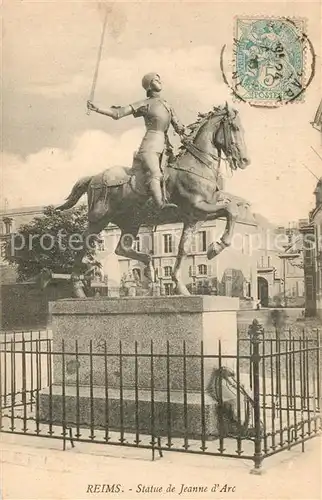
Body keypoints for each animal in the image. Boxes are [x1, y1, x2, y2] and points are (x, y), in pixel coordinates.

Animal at [57, 102, 249, 296]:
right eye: (234, 127)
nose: (244, 160)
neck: (197, 165)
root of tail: (94, 178)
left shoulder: (197, 218)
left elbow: (183, 248)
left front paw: (181, 284)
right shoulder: (198, 207)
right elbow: (231, 210)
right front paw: (217, 246)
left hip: (131, 222)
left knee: (122, 248)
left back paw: (148, 267)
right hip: (99, 220)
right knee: (84, 243)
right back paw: (79, 288)